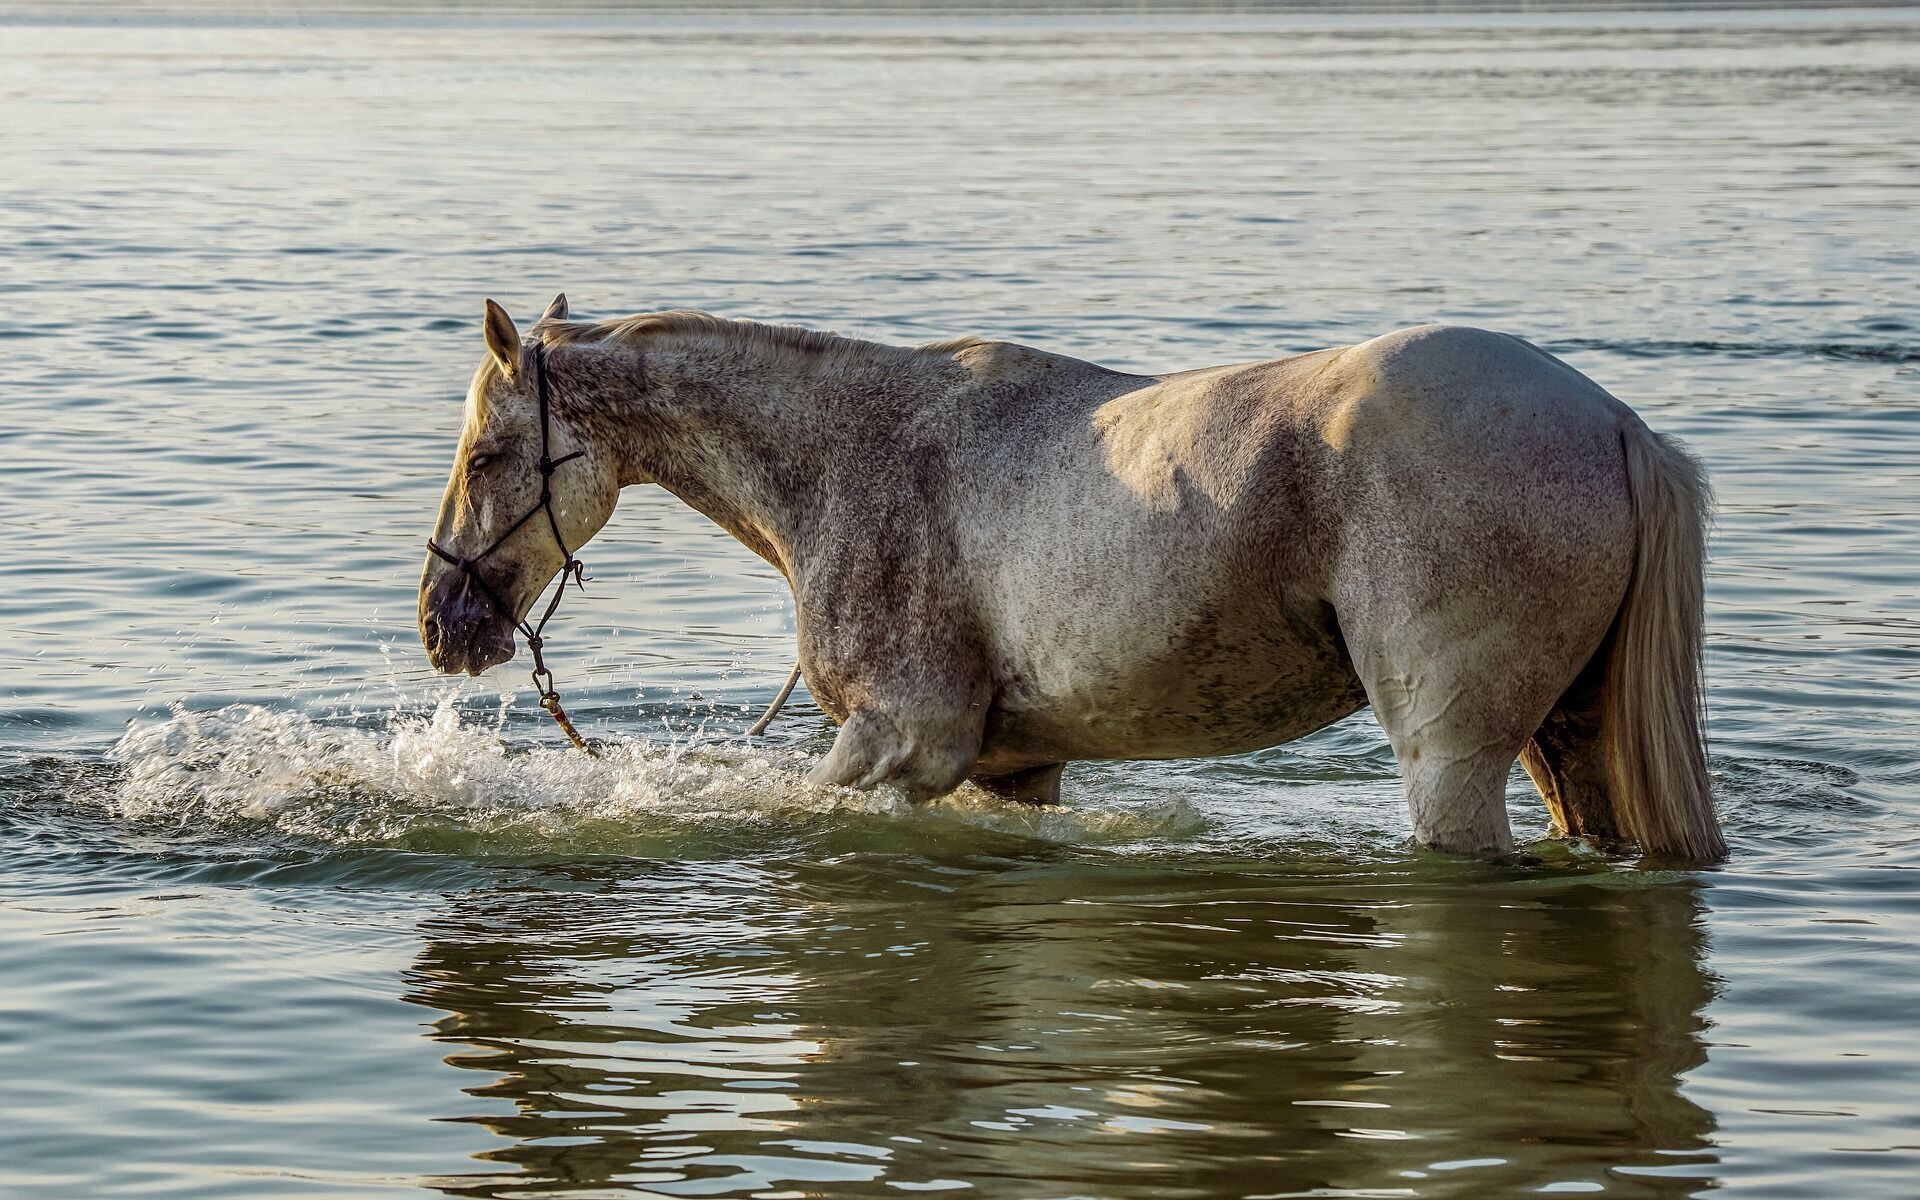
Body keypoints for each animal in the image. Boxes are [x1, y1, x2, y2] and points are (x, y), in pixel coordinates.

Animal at [420, 297, 1728, 860]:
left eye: (485, 457)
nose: (444, 622)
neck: (856, 451)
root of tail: (1613, 423)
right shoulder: (1011, 769)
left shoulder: (903, 743)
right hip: (1568, 742)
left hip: (1452, 753)